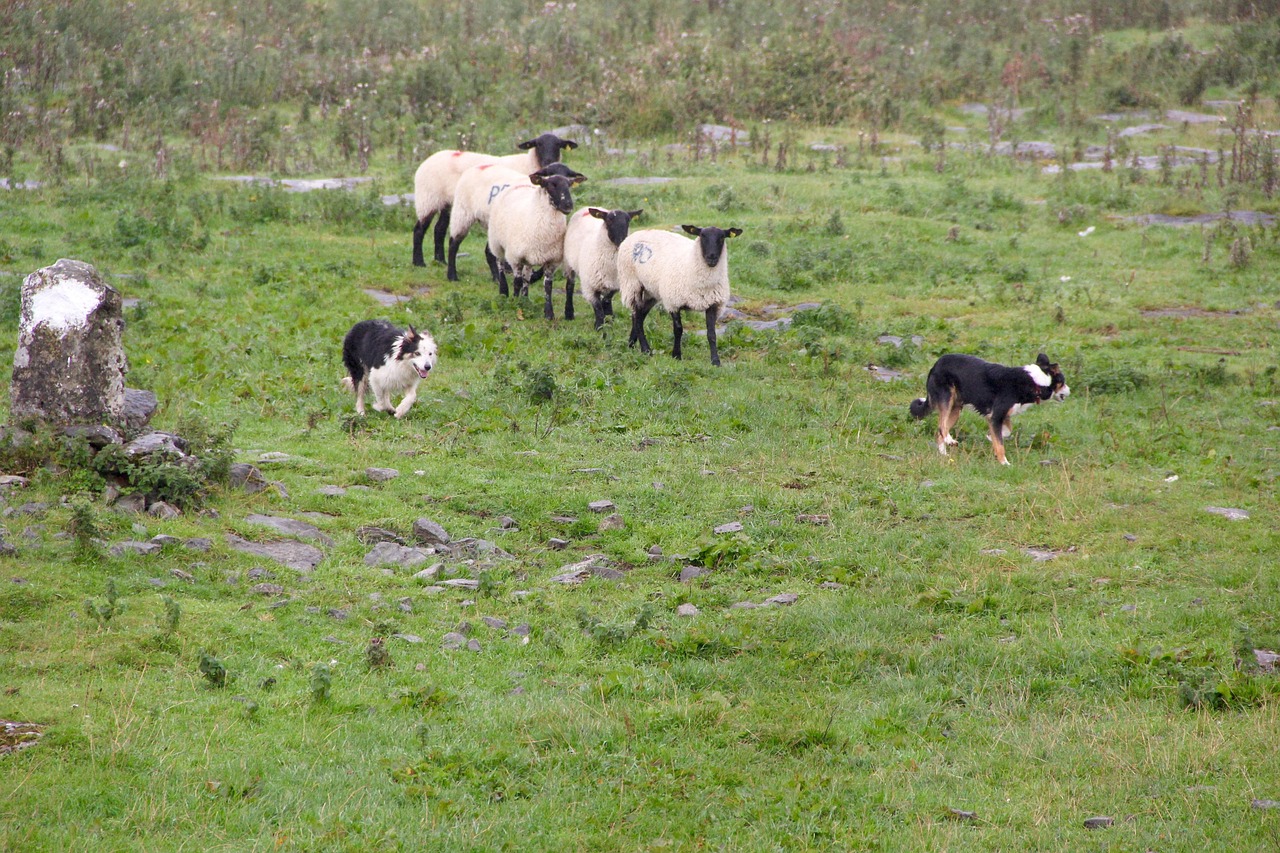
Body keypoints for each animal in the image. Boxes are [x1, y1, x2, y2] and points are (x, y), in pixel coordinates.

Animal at [412, 131, 578, 266]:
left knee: (439, 229)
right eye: (538, 144)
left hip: (447, 203)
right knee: (419, 229)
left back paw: (440, 261)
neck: (528, 164)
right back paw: (419, 262)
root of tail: (427, 160)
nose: (549, 161)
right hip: (428, 199)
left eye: (558, 145)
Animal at [445, 158, 586, 279]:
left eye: (569, 179)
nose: (567, 204)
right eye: (549, 175)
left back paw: (496, 277)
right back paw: (452, 276)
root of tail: (477, 167)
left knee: (489, 251)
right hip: (462, 212)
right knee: (453, 243)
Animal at [481, 169, 583, 318]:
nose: (568, 205)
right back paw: (504, 292)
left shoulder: (552, 260)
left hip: (528, 256)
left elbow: (548, 286)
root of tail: (516, 185)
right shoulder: (515, 257)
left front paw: (549, 313)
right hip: (496, 242)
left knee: (527, 276)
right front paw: (514, 304)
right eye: (550, 185)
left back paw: (525, 298)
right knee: (500, 264)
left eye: (569, 185)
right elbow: (516, 282)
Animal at [616, 222, 742, 366]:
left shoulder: (713, 304)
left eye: (722, 237)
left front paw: (715, 361)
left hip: (650, 291)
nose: (711, 257)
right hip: (632, 283)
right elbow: (678, 329)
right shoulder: (673, 302)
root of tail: (637, 233)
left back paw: (631, 344)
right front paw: (676, 355)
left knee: (638, 315)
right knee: (637, 316)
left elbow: (712, 334)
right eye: (702, 235)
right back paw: (645, 349)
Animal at [911, 350, 1070, 461]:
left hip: (955, 409)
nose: (1070, 390)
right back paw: (950, 440)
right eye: (1063, 381)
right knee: (942, 427)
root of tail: (936, 364)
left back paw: (944, 454)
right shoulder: (996, 416)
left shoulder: (1001, 416)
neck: (1034, 382)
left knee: (939, 433)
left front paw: (989, 437)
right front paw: (1004, 463)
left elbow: (1006, 432)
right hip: (946, 399)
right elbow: (1000, 445)